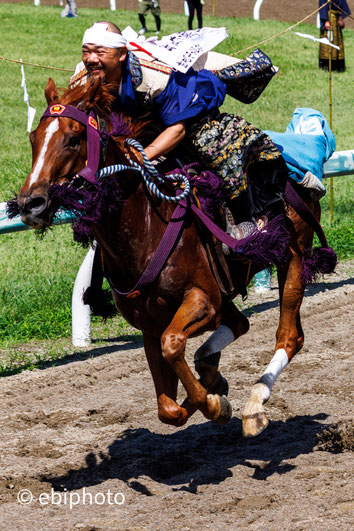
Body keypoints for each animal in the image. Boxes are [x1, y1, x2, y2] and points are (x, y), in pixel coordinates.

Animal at [14, 78, 332, 436]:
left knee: (289, 336)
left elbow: (173, 343)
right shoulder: (149, 324)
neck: (145, 227)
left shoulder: (202, 300)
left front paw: (214, 402)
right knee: (239, 322)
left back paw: (254, 407)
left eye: (73, 139)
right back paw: (211, 371)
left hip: (293, 255)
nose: (30, 204)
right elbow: (168, 408)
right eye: (33, 138)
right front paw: (214, 392)